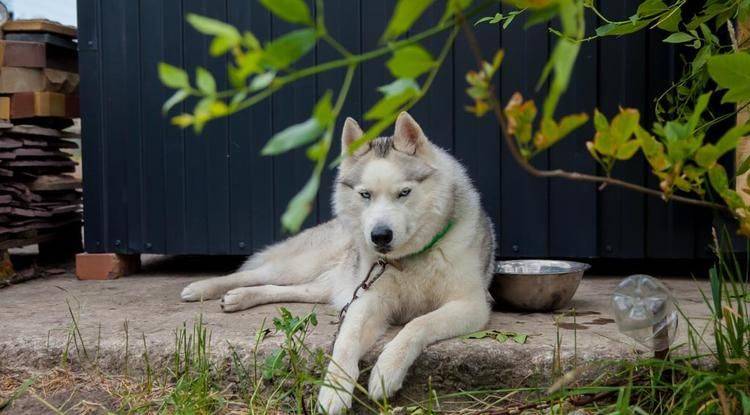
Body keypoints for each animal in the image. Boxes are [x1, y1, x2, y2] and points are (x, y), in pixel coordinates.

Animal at [181, 112, 496, 414]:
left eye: (404, 193)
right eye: (365, 194)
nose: (380, 236)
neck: (409, 259)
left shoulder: (471, 305)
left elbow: (417, 324)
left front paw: (387, 370)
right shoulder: (368, 301)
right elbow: (346, 342)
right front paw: (333, 390)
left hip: (328, 286)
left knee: (284, 289)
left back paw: (239, 298)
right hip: (304, 266)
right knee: (257, 274)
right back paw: (207, 288)